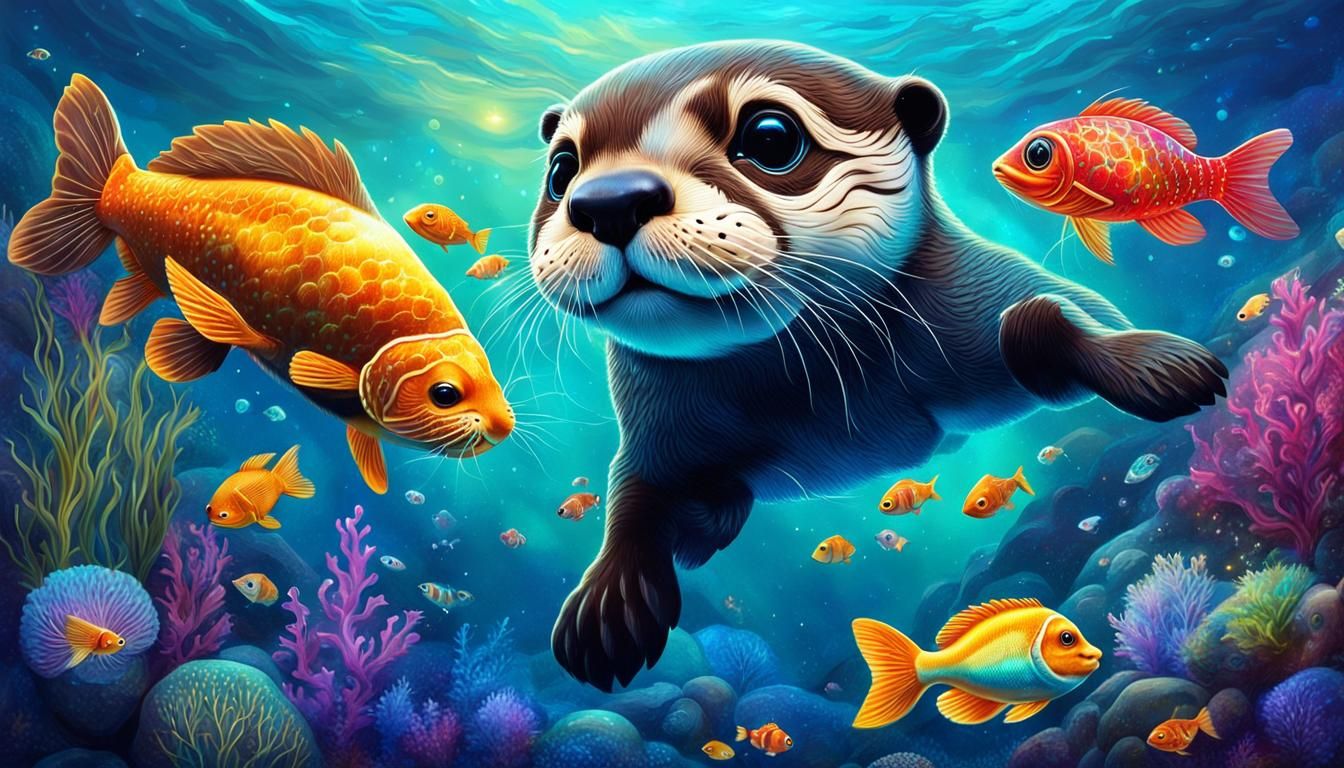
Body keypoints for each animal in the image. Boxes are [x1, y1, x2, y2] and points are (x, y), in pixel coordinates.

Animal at [527, 41, 1226, 690]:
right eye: (562, 169)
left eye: (769, 136)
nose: (609, 200)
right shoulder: (654, 423)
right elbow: (631, 491)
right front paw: (607, 604)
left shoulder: (980, 293)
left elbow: (1056, 315)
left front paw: (1159, 364)